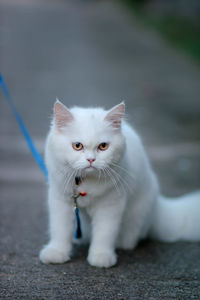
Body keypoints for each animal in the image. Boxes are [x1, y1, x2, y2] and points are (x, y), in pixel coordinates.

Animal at [39, 101, 200, 268]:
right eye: (77, 146)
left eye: (103, 146)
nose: (91, 160)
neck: (86, 182)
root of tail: (158, 207)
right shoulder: (61, 201)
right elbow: (60, 230)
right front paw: (56, 253)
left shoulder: (110, 205)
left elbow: (104, 233)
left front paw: (101, 257)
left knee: (129, 239)